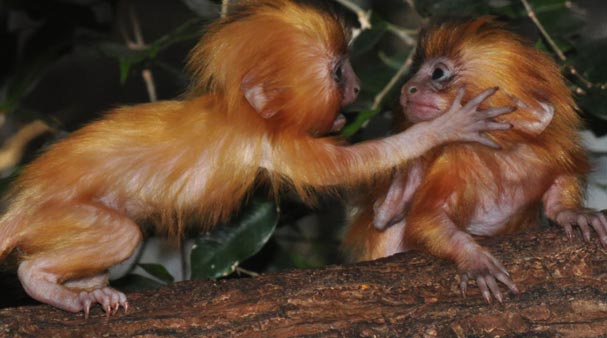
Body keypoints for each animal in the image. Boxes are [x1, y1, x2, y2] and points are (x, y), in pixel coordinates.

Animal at [0, 1, 512, 316]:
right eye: (338, 72)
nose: (355, 88)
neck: (244, 109)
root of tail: (23, 206)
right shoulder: (274, 141)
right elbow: (349, 166)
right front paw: (443, 128)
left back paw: (87, 288)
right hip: (58, 215)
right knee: (111, 238)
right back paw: (43, 284)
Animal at [344, 17, 604, 304]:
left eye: (437, 73)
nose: (408, 88)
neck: (502, 156)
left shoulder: (544, 156)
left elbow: (561, 182)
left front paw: (570, 212)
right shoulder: (454, 159)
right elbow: (427, 219)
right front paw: (475, 259)